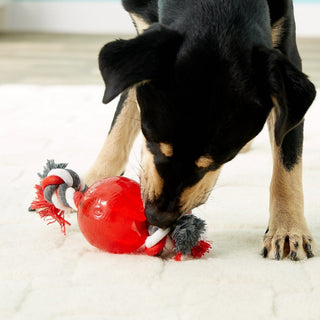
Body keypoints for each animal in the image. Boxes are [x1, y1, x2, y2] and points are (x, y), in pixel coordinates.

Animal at [84, 0, 316, 260]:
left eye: (217, 162)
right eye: (153, 142)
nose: (157, 218)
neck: (220, 7)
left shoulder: (285, 51)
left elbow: (288, 157)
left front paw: (288, 228)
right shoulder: (144, 31)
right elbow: (123, 115)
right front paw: (94, 181)